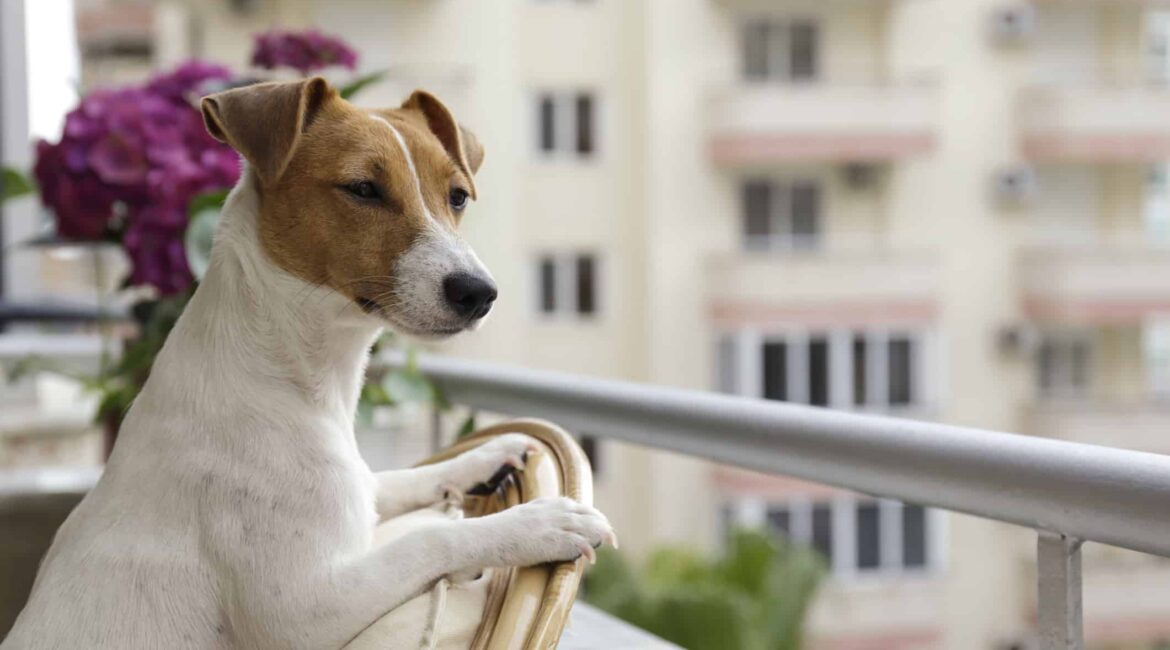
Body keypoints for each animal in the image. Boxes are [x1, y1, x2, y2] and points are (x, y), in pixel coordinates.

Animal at [4, 78, 617, 645]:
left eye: (459, 196)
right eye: (363, 188)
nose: (480, 293)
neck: (289, 372)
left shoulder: (361, 493)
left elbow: (405, 477)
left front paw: (489, 453)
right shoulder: (305, 611)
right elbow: (430, 537)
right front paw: (541, 521)